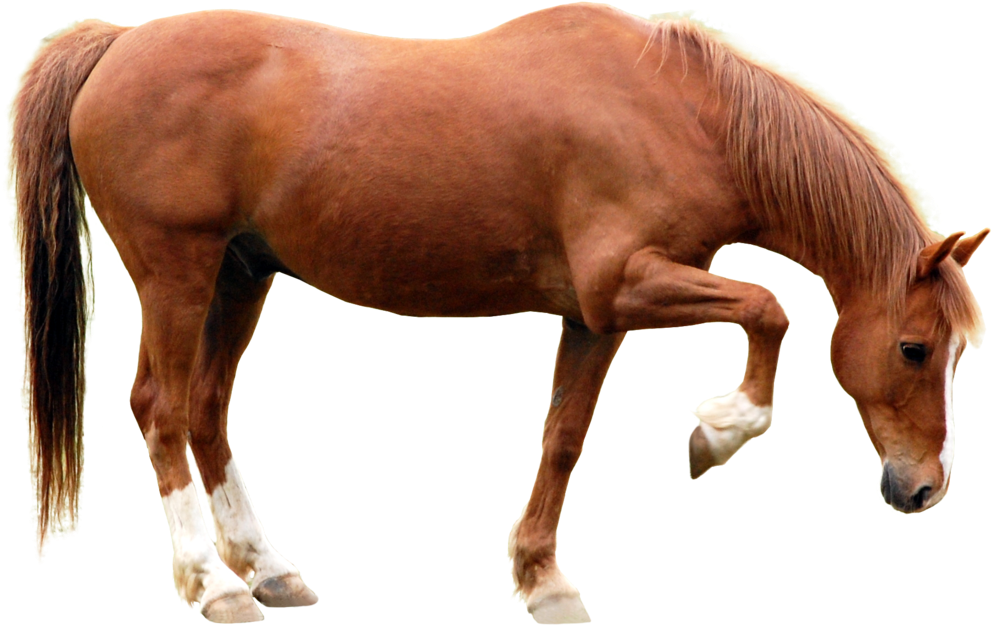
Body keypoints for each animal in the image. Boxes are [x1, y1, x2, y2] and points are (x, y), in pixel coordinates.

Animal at [9, 3, 987, 623]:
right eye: (912, 347)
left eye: (952, 356)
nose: (922, 488)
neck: (677, 112)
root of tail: (115, 48)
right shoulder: (627, 283)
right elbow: (772, 310)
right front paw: (719, 430)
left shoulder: (597, 316)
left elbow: (563, 436)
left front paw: (543, 578)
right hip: (177, 272)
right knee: (161, 409)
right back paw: (213, 583)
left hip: (241, 276)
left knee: (207, 410)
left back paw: (272, 569)